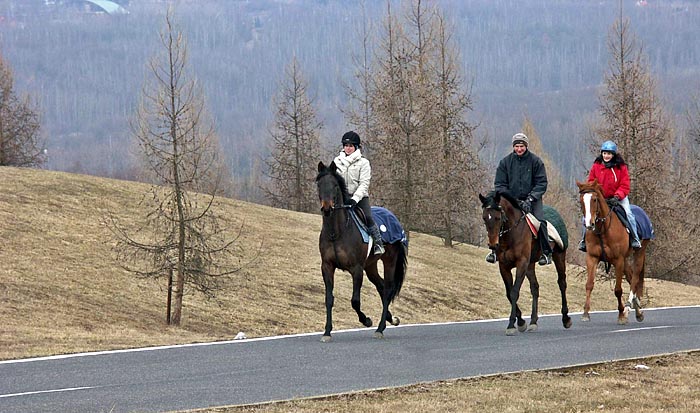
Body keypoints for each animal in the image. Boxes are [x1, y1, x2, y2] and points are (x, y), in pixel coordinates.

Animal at [314, 161, 408, 342]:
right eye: (319, 185)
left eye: (334, 185)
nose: (327, 209)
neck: (337, 232)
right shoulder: (327, 267)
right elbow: (329, 299)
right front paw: (327, 332)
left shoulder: (356, 269)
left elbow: (355, 301)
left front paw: (366, 320)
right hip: (370, 266)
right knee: (381, 286)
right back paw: (390, 319)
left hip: (389, 261)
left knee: (387, 289)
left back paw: (380, 328)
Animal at [478, 190, 572, 334]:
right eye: (484, 218)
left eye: (498, 217)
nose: (493, 245)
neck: (511, 234)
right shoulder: (504, 266)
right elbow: (509, 293)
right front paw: (521, 322)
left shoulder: (521, 263)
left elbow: (514, 292)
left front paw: (512, 325)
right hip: (530, 265)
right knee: (535, 288)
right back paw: (533, 321)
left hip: (559, 256)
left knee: (562, 283)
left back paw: (566, 319)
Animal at [576, 179, 652, 324]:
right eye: (581, 200)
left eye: (594, 199)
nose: (589, 224)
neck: (603, 229)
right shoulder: (592, 258)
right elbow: (589, 285)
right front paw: (585, 313)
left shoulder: (618, 260)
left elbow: (618, 290)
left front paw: (621, 314)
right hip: (625, 260)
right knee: (630, 277)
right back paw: (638, 312)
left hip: (639, 252)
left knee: (635, 278)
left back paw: (628, 307)